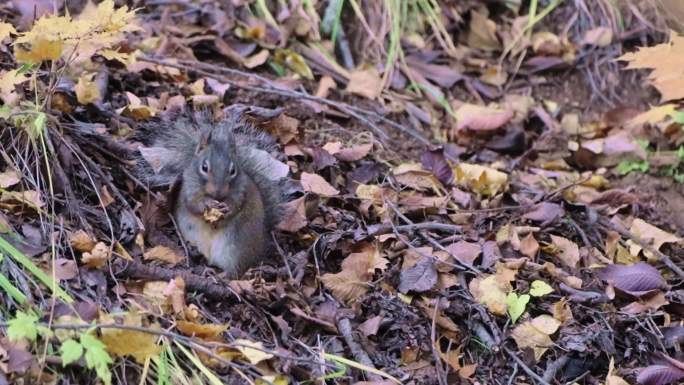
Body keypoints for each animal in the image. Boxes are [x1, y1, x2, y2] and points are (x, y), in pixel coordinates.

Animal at [136, 111, 286, 276]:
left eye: (233, 170)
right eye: (204, 167)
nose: (218, 192)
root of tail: (260, 250)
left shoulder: (242, 190)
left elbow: (237, 205)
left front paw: (227, 208)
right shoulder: (188, 187)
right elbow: (193, 204)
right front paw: (208, 204)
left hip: (235, 248)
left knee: (235, 271)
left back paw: (221, 273)